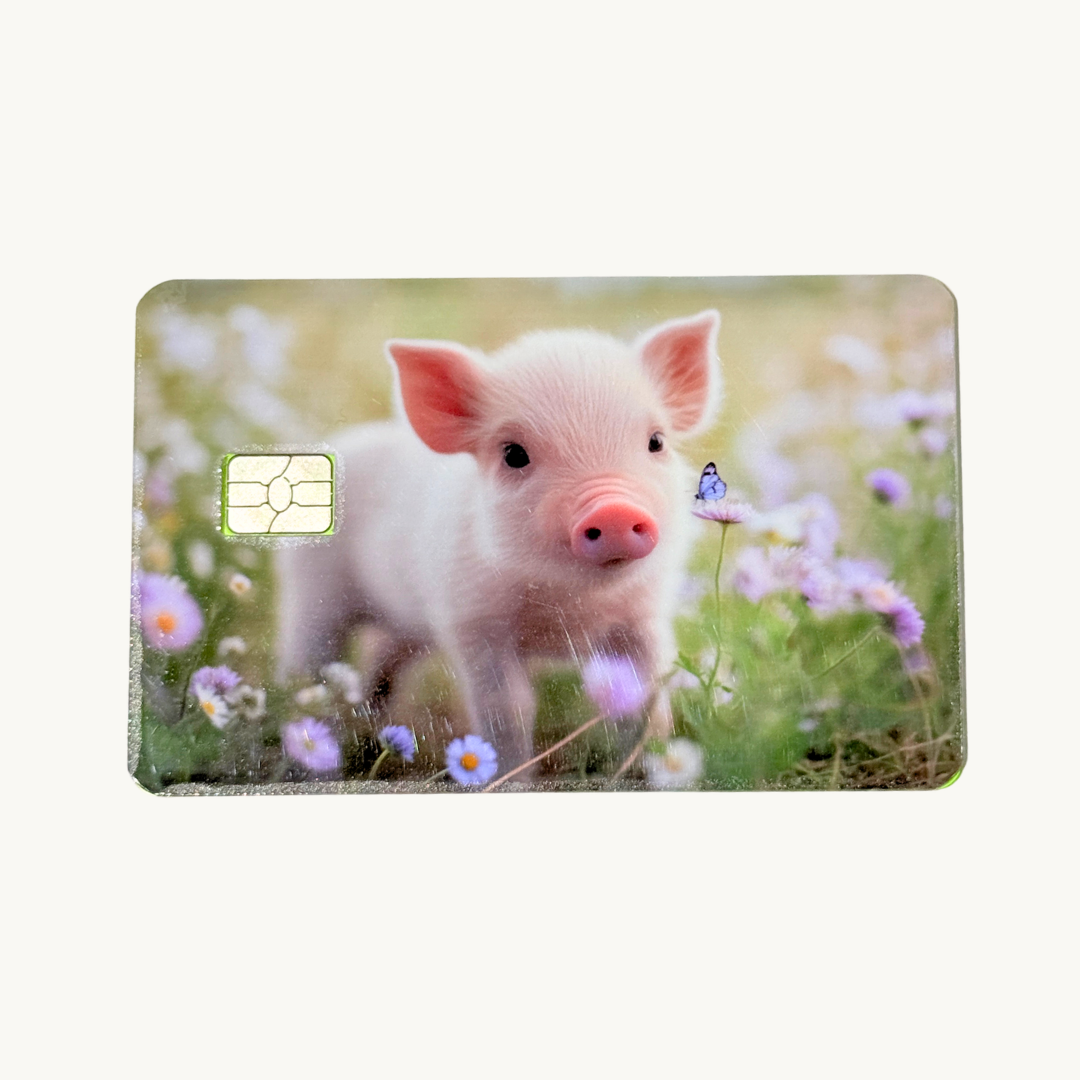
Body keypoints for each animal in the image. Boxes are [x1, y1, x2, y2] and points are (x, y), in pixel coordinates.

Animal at [275, 310, 722, 779]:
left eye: (657, 441)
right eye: (514, 454)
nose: (612, 510)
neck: (567, 609)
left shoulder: (644, 616)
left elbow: (646, 701)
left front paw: (648, 772)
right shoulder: (474, 620)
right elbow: (508, 708)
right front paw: (513, 780)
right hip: (311, 592)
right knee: (306, 670)